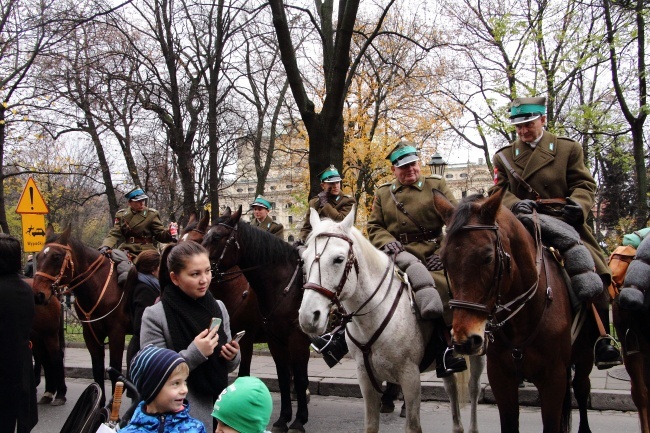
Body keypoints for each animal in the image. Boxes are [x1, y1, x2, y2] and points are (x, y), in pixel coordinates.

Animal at [32, 224, 132, 404]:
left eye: (56, 256)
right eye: (40, 256)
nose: (38, 294)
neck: (99, 285)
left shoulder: (117, 333)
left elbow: (115, 369)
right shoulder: (90, 335)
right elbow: (98, 370)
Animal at [202, 206, 312, 432]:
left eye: (216, 237)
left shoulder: (295, 339)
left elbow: (300, 378)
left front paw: (298, 421)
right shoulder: (274, 339)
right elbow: (283, 377)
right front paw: (283, 419)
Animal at [296, 208, 484, 430]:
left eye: (339, 259)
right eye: (304, 259)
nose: (308, 316)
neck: (371, 319)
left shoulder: (410, 378)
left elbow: (413, 425)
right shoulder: (366, 378)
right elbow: (371, 424)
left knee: (474, 388)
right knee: (451, 386)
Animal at [432, 189, 596, 432]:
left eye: (488, 257)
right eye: (444, 259)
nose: (464, 340)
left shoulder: (553, 379)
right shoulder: (501, 378)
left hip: (585, 358)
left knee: (582, 389)